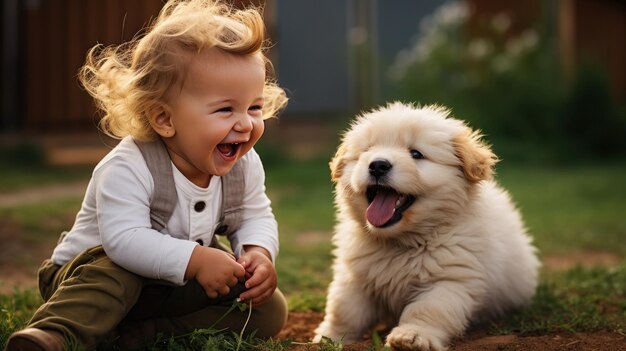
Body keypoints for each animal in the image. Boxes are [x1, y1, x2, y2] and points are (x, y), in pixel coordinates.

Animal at [314, 103, 540, 350]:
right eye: (367, 150)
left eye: (416, 154)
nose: (378, 165)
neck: (402, 241)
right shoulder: (355, 277)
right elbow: (344, 309)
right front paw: (329, 336)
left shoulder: (450, 280)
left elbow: (427, 310)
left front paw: (411, 336)